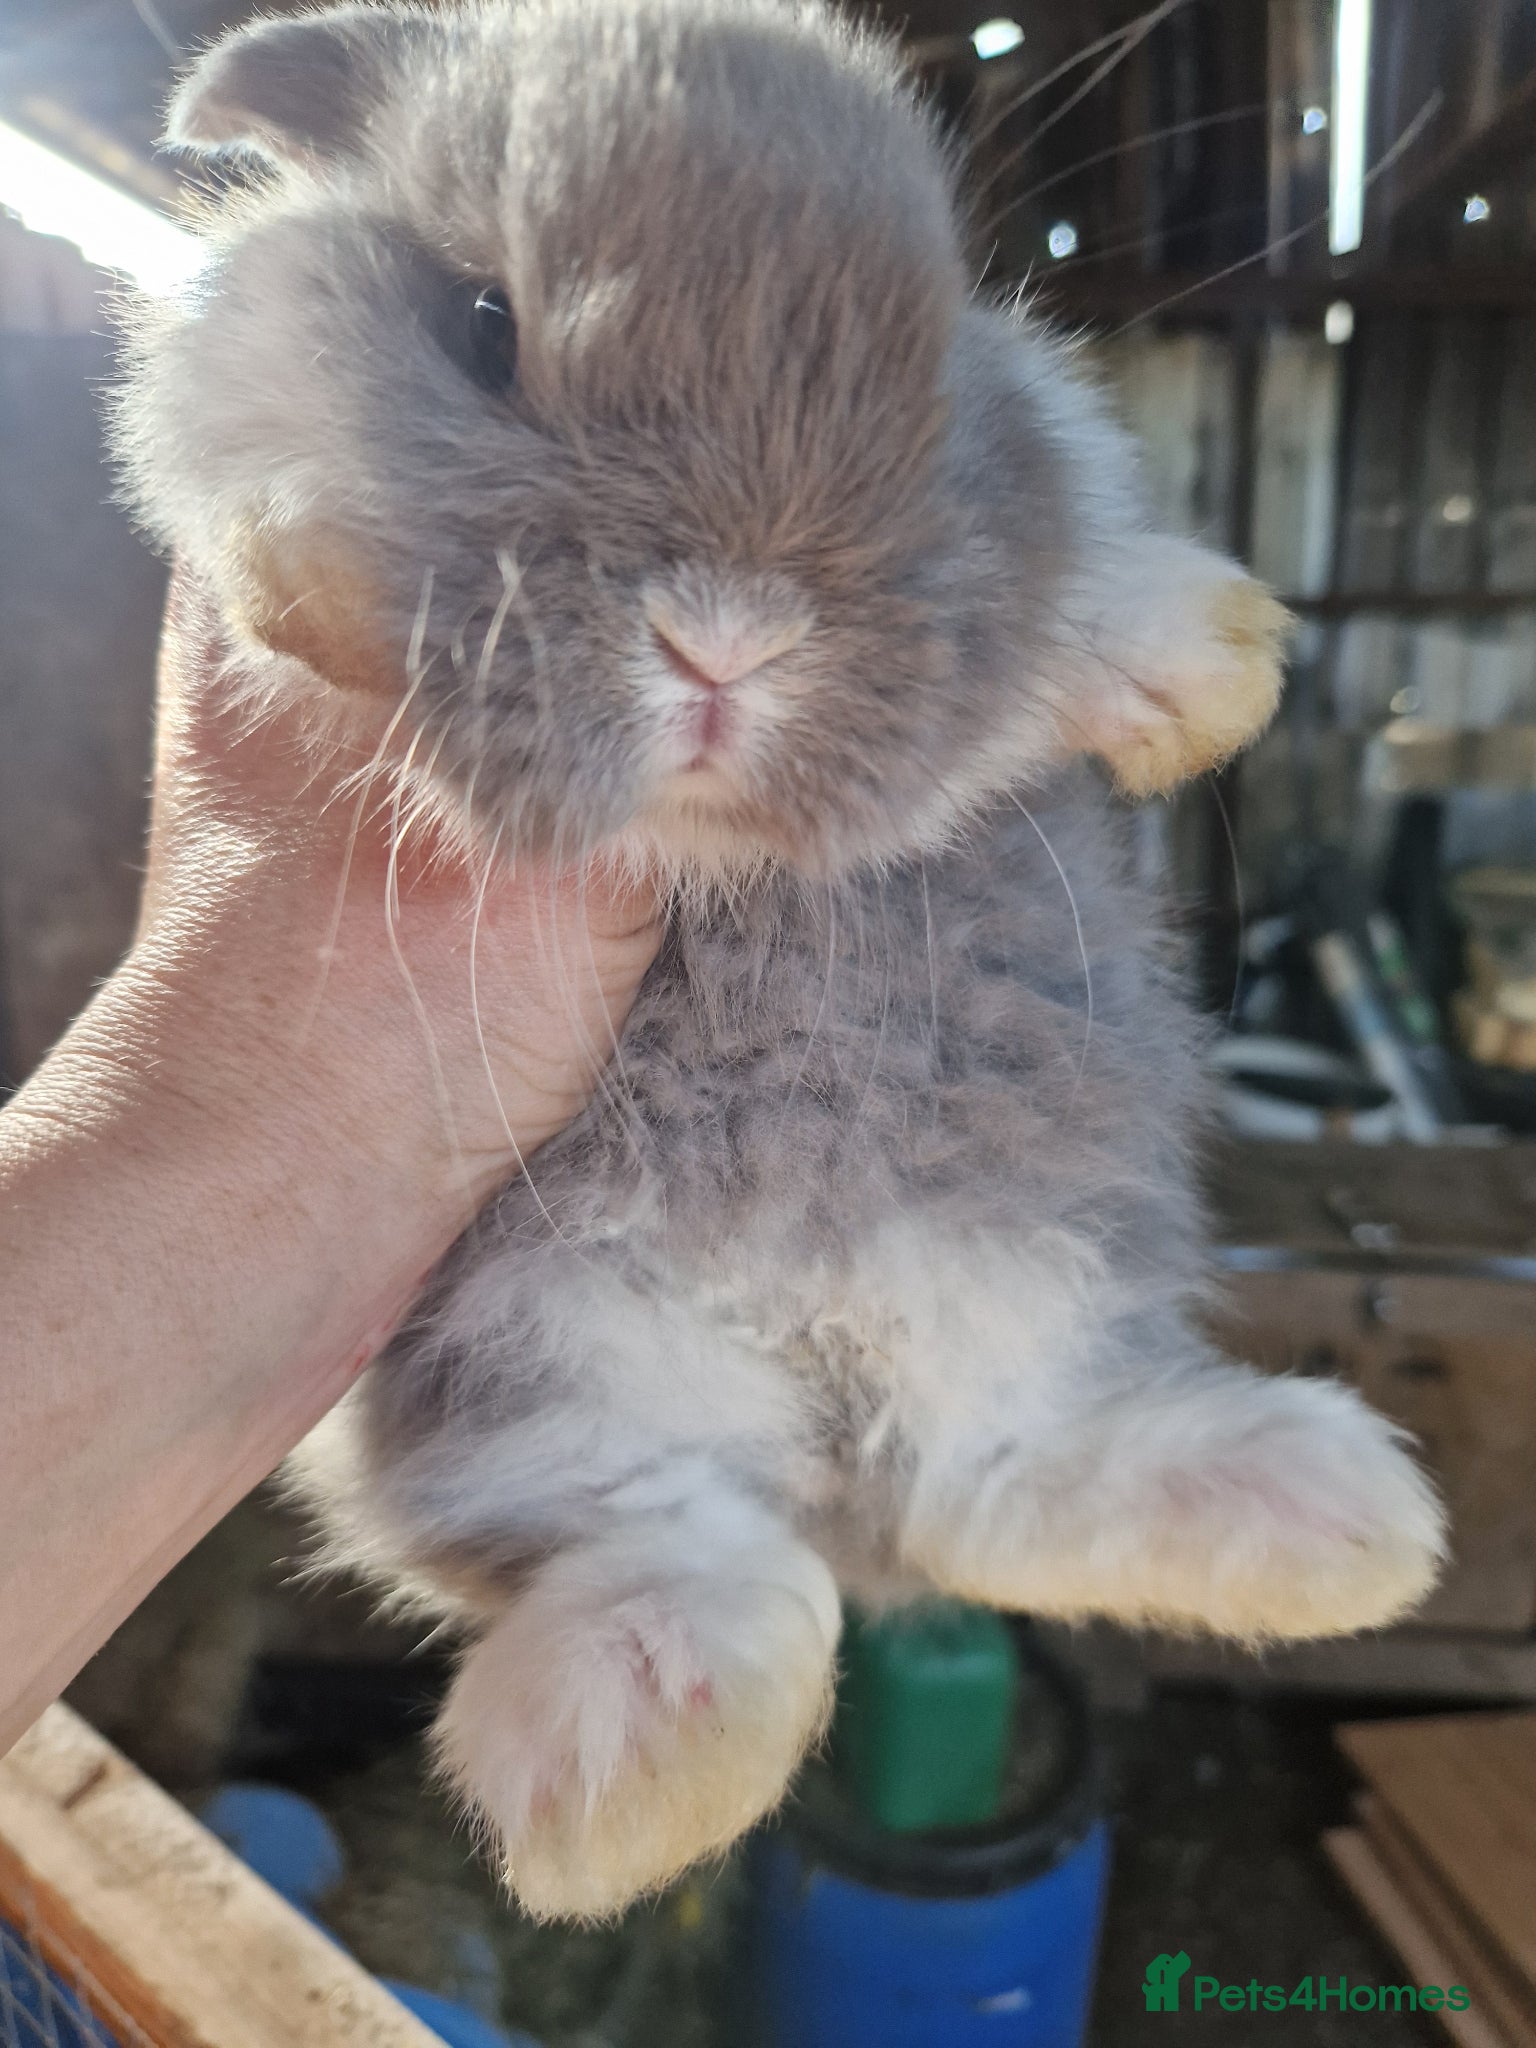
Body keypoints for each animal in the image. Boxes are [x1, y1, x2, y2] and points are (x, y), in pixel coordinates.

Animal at [115, 0, 1445, 1920]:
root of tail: (822, 1375)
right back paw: (634, 1764)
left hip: (1020, 1253)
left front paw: (1207, 661)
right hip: (532, 1346)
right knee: (691, 1544)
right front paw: (313, 571)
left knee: (988, 1488)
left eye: (940, 349)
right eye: (483, 325)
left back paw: (1338, 1520)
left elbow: (1074, 584)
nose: (725, 637)